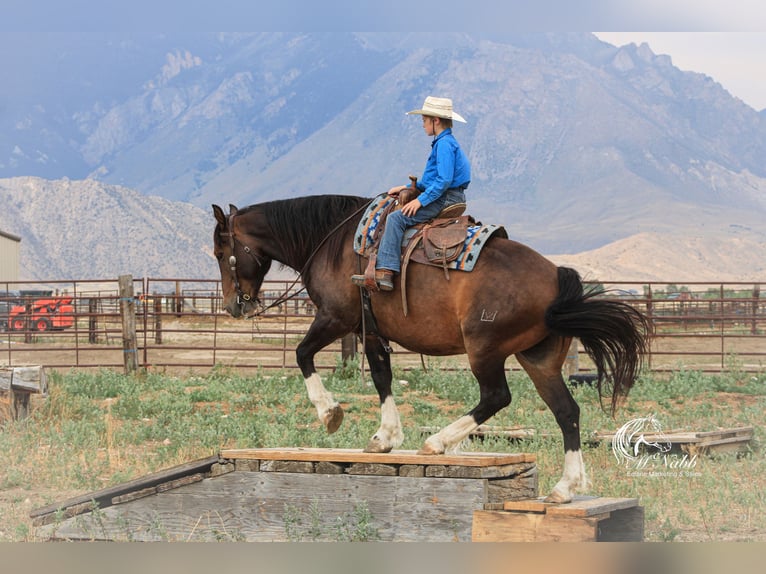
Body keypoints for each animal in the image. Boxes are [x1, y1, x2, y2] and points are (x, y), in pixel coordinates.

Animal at [213, 195, 652, 504]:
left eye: (220, 252)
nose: (235, 305)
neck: (333, 243)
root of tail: (556, 278)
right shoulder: (370, 331)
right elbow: (381, 376)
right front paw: (385, 437)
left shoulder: (336, 318)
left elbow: (302, 354)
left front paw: (331, 413)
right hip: (538, 359)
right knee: (566, 411)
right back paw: (565, 487)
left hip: (484, 349)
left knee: (496, 396)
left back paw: (438, 442)